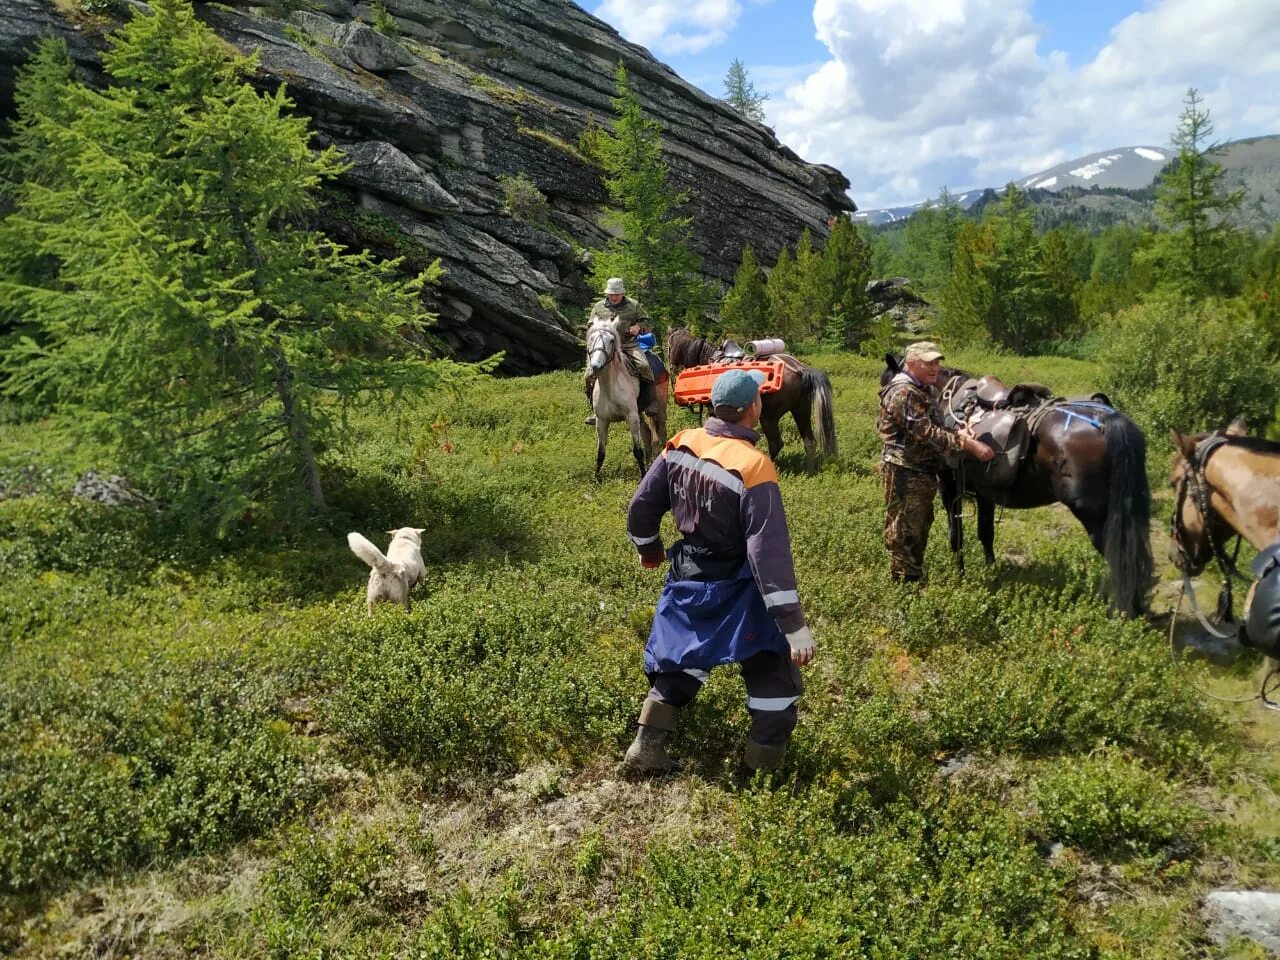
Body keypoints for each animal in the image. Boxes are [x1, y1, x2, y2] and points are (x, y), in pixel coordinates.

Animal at [665, 330, 834, 471]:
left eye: (669, 346)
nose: (671, 367)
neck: (708, 361)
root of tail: (800, 370)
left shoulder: (713, 410)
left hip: (769, 417)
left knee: (776, 444)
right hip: (801, 410)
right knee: (809, 441)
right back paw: (810, 470)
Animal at [880, 355, 1152, 616]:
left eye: (885, 381)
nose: (883, 410)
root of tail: (1110, 420)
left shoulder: (948, 488)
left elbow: (956, 536)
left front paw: (960, 573)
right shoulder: (985, 493)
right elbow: (986, 533)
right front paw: (992, 573)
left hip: (1097, 517)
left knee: (1122, 558)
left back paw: (1126, 613)